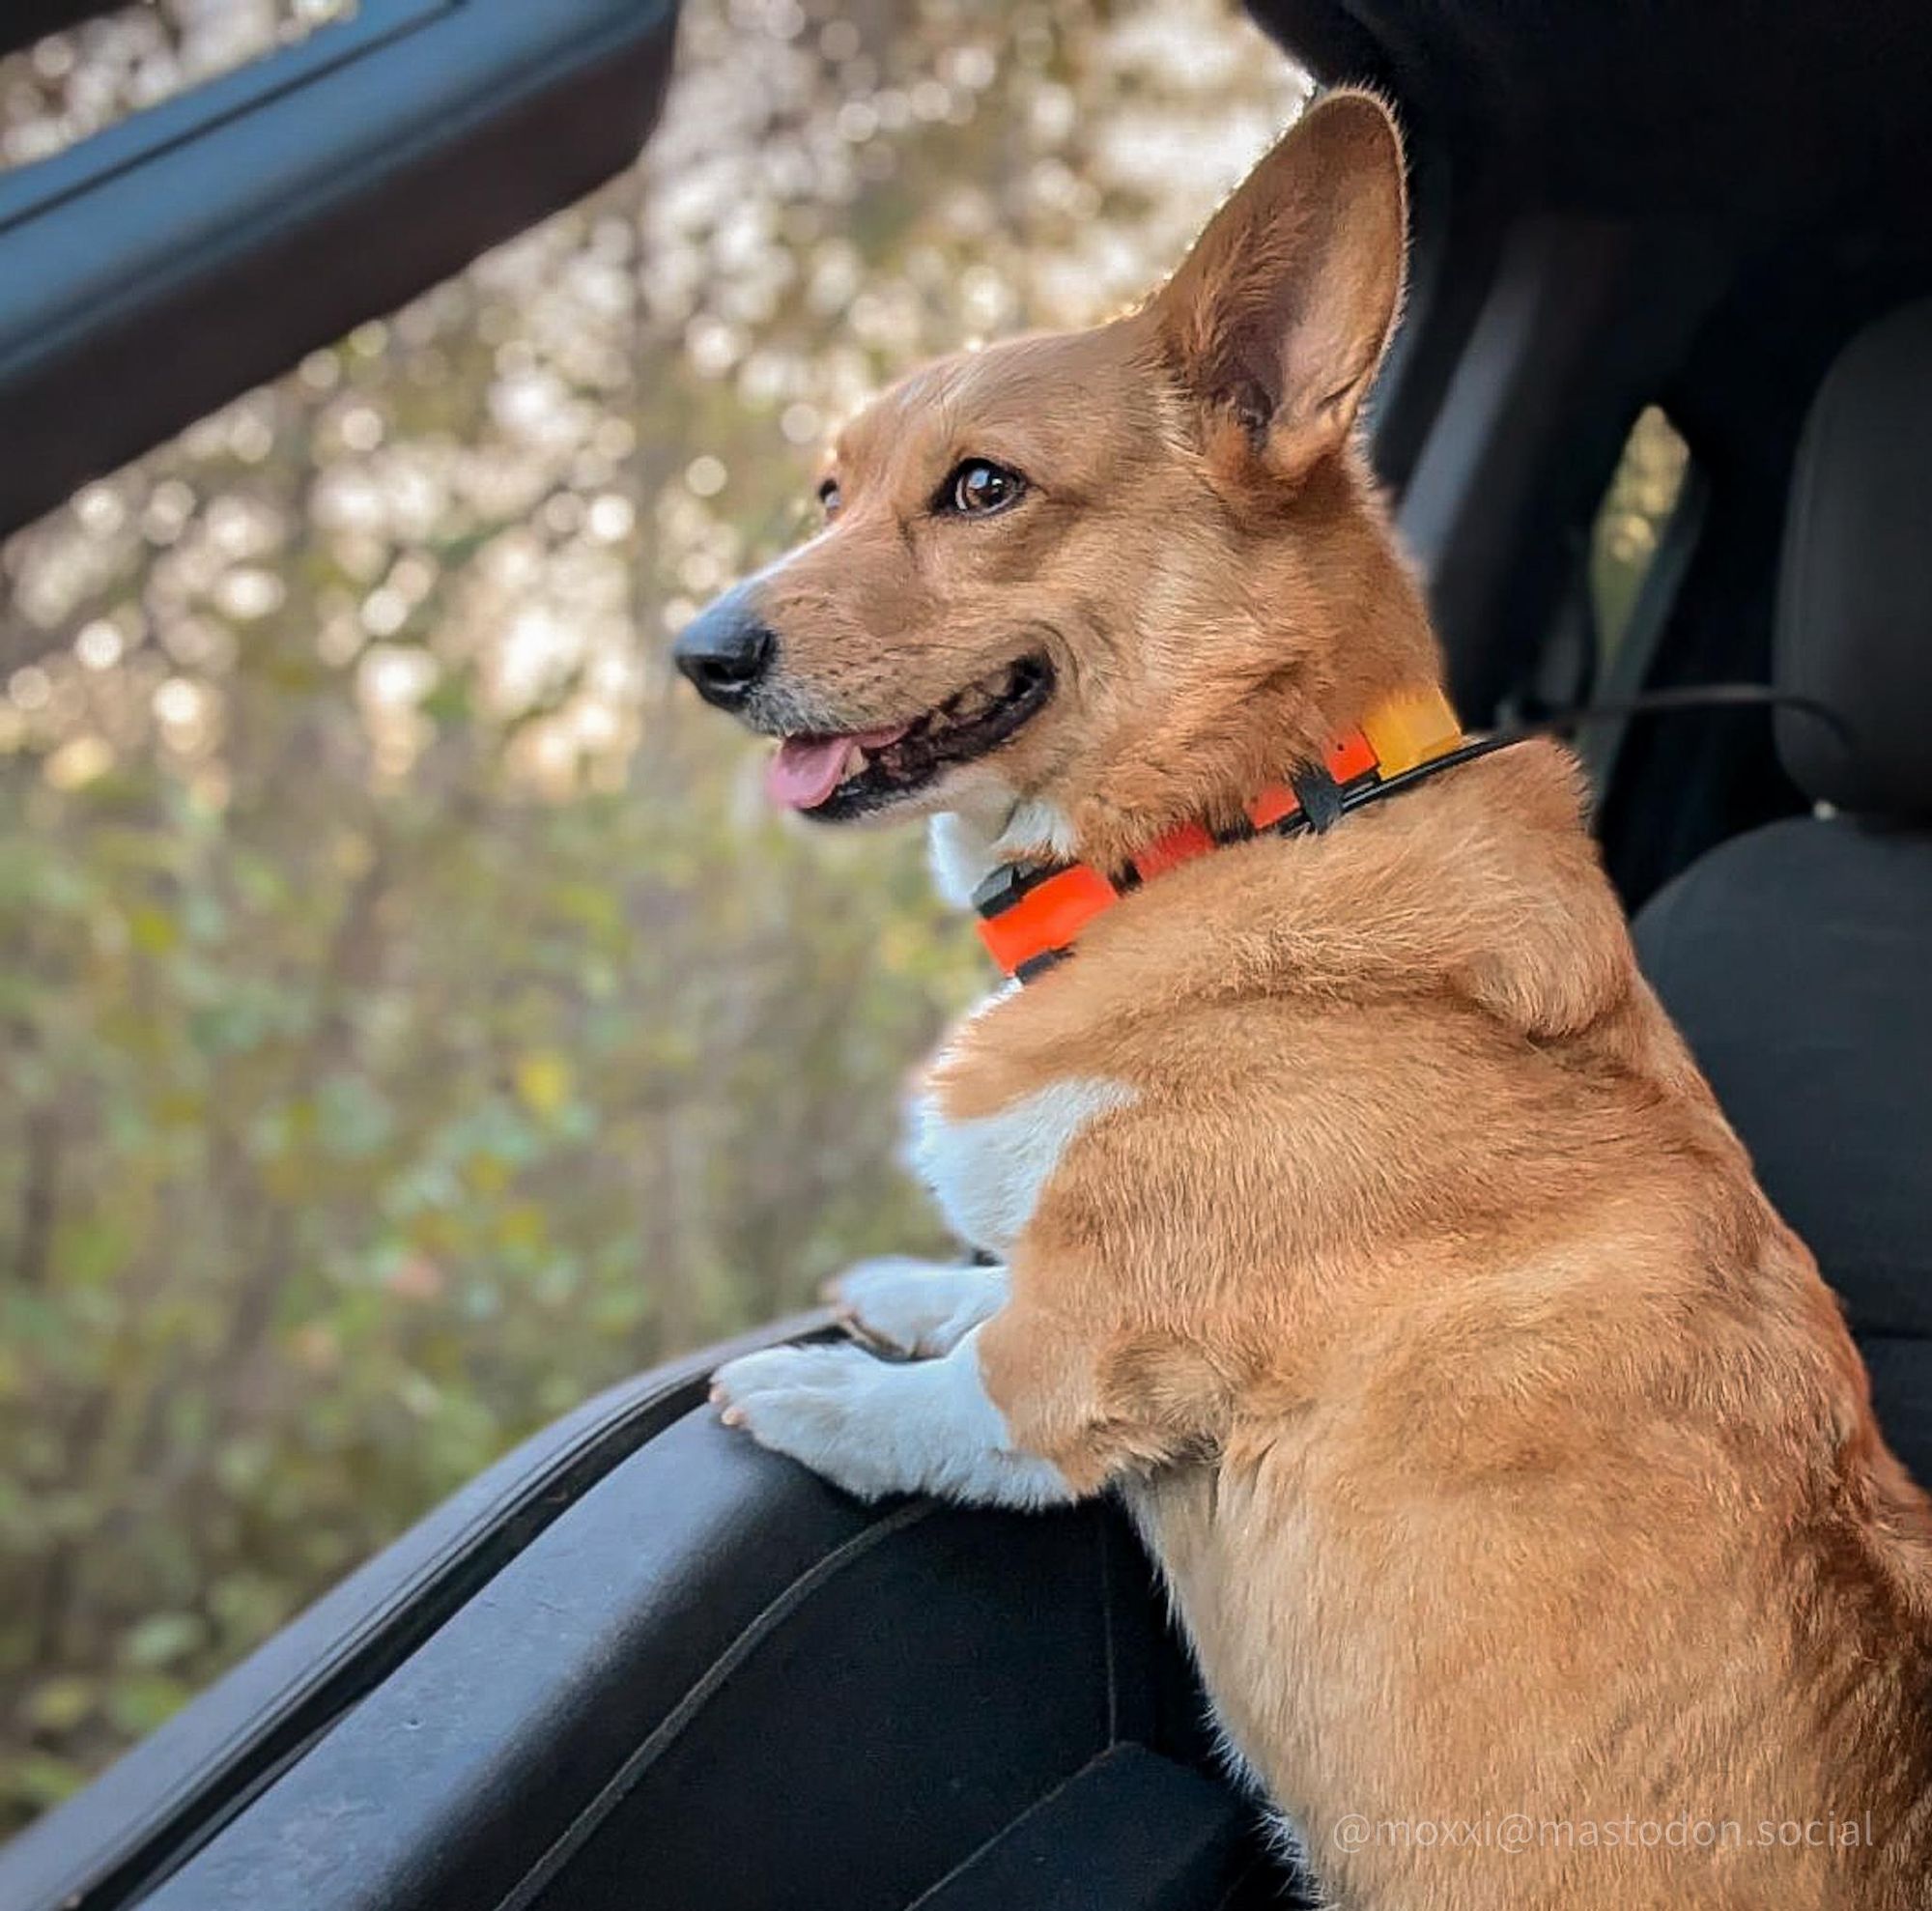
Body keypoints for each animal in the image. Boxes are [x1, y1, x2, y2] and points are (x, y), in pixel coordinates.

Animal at [668, 86, 1932, 1894]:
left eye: (981, 487)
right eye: (831, 490)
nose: (699, 654)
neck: (1224, 830)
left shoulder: (1074, 1367)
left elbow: (964, 1398)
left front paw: (808, 1384)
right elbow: (986, 1277)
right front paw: (902, 1283)